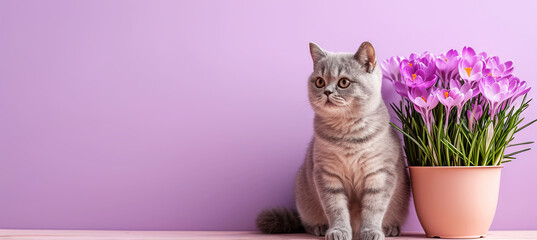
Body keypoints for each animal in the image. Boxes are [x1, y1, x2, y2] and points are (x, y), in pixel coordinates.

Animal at [258, 42, 408, 240]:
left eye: (344, 82)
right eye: (319, 81)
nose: (327, 92)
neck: (347, 133)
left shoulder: (380, 173)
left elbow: (374, 208)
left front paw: (371, 231)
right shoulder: (327, 175)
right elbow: (335, 208)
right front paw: (339, 231)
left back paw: (390, 229)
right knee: (308, 224)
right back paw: (320, 228)